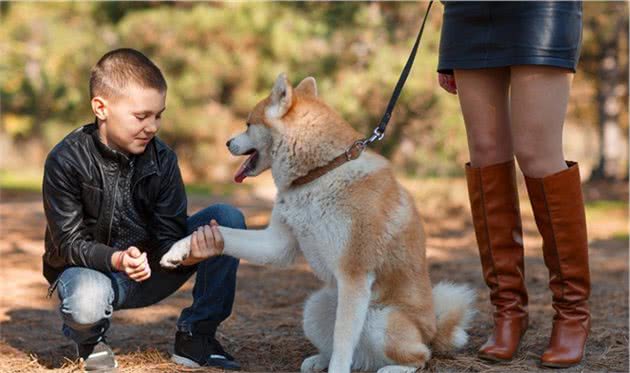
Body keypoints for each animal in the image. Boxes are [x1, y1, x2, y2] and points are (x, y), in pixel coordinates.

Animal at [160, 73, 476, 372]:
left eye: (248, 124)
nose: (227, 142)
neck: (320, 173)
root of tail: (432, 331)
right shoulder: (278, 245)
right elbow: (223, 235)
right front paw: (181, 249)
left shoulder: (354, 275)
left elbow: (343, 341)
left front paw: (338, 370)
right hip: (315, 308)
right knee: (350, 351)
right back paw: (319, 360)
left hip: (381, 320)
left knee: (420, 356)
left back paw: (394, 368)